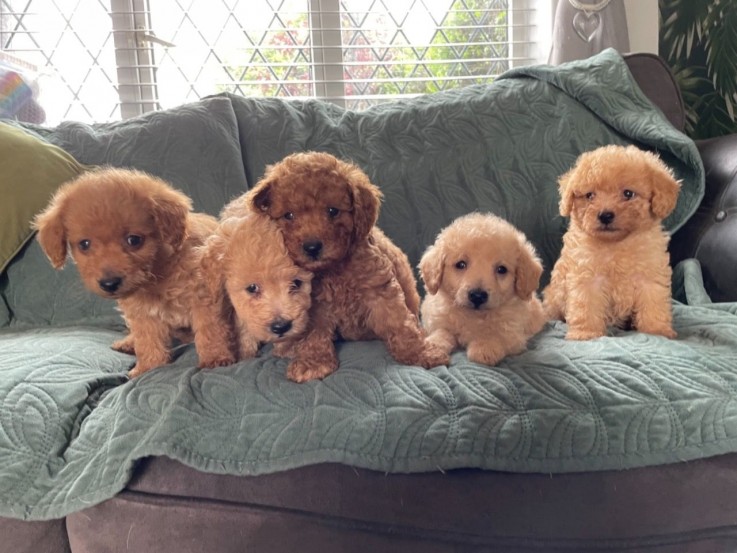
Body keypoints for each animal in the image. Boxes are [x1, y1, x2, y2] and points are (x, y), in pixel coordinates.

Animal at [33, 167, 236, 376]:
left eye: (134, 240)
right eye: (84, 244)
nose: (109, 283)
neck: (158, 272)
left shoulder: (203, 297)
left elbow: (210, 329)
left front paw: (215, 358)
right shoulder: (142, 313)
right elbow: (147, 341)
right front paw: (148, 367)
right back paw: (128, 342)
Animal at [221, 151, 446, 384]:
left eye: (333, 211)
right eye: (289, 215)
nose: (312, 247)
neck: (333, 270)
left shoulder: (380, 290)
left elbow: (399, 323)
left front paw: (420, 353)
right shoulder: (313, 304)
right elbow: (314, 335)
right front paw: (313, 363)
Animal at [420, 212, 548, 366]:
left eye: (501, 269)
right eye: (461, 264)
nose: (477, 296)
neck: (474, 316)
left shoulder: (513, 334)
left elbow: (496, 335)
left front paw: (484, 347)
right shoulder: (437, 321)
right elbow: (442, 331)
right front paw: (434, 344)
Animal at [540, 144, 680, 338]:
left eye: (628, 193)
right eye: (590, 195)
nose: (605, 215)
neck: (617, 244)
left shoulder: (650, 276)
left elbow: (654, 304)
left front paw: (657, 330)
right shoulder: (587, 276)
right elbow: (586, 306)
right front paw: (586, 333)